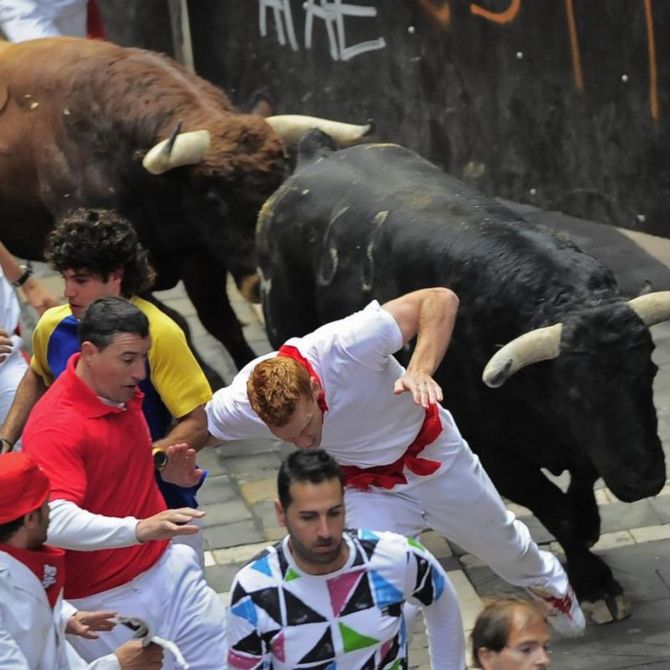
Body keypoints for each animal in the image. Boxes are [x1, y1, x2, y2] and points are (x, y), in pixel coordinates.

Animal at [256, 133, 668, 624]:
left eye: (650, 371)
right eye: (577, 395)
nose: (645, 479)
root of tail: (314, 156)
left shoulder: (582, 445)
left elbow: (583, 482)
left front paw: (590, 530)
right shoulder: (496, 455)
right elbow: (555, 509)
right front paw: (594, 582)